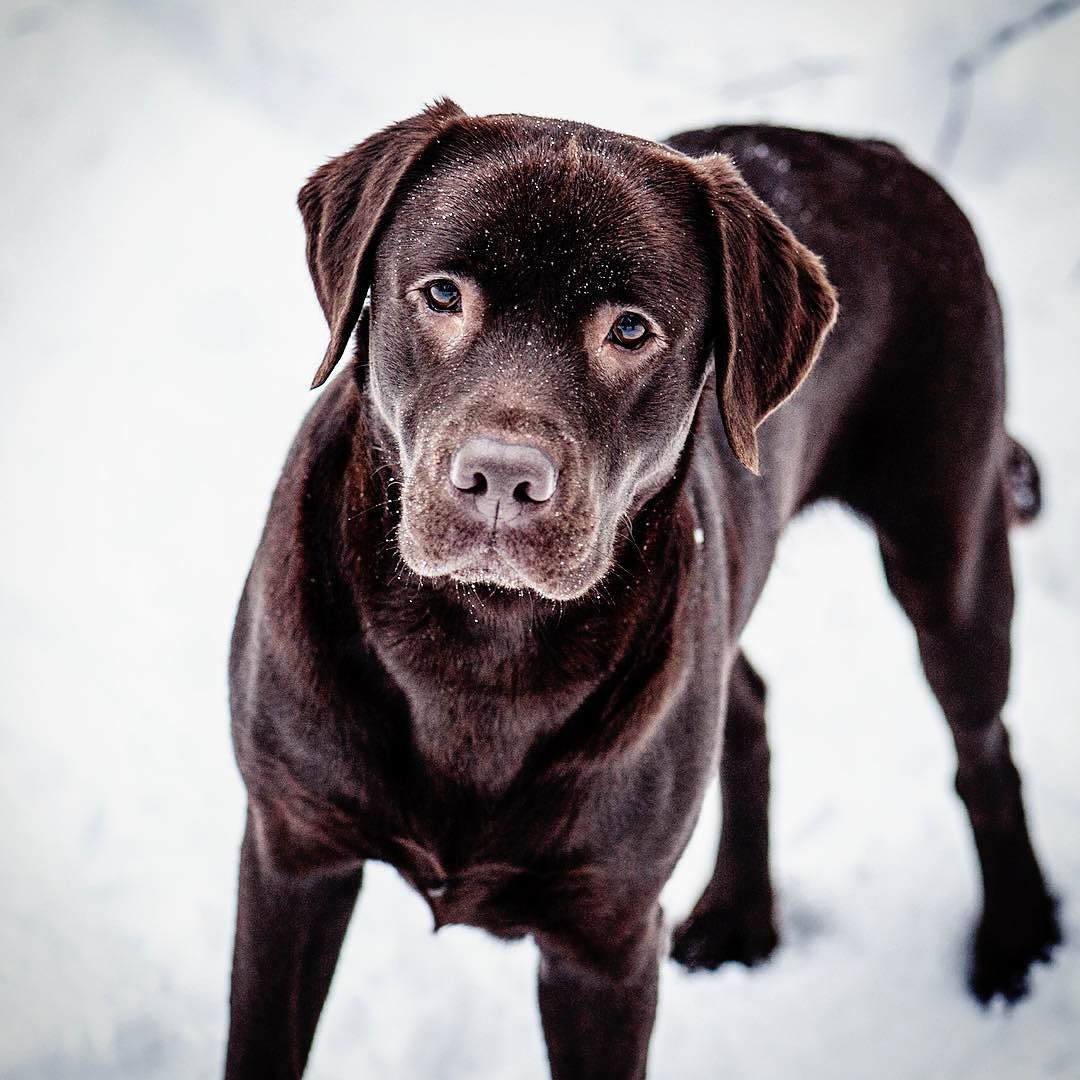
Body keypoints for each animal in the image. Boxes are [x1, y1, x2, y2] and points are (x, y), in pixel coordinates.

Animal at [223, 101, 1058, 1080]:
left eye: (629, 330)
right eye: (441, 294)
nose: (502, 479)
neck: (474, 649)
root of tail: (879, 153)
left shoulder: (607, 937)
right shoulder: (292, 850)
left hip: (948, 545)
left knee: (984, 746)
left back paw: (1015, 940)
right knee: (750, 702)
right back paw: (738, 915)